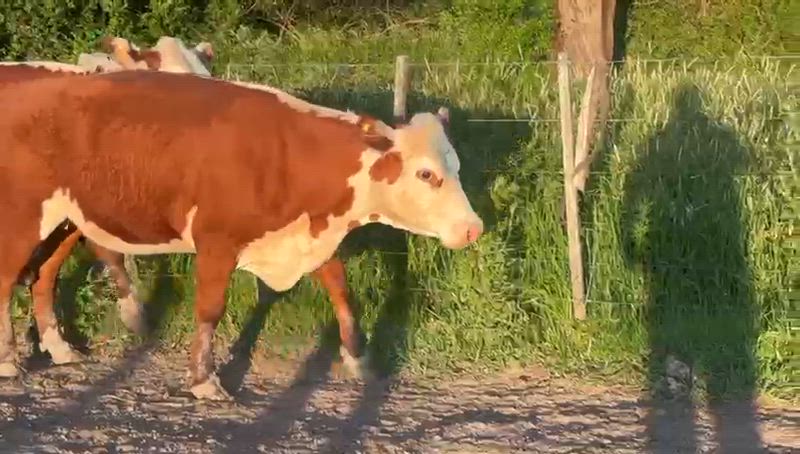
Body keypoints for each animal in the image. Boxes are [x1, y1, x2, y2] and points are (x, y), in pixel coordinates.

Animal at [0, 69, 483, 399]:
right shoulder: (217, 240)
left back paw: (59, 348)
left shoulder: (309, 232)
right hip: (24, 215)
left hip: (67, 219)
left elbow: (341, 288)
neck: (287, 152)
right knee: (6, 280)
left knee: (43, 277)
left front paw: (357, 358)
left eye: (457, 165)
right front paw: (205, 380)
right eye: (426, 174)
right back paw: (8, 360)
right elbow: (210, 309)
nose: (472, 228)